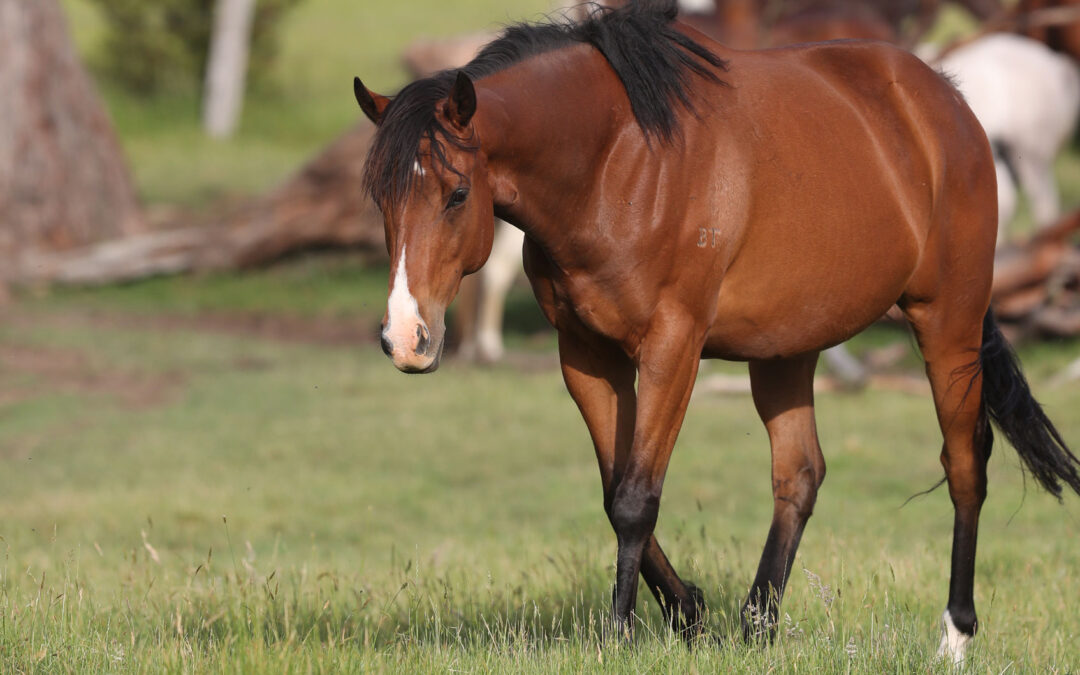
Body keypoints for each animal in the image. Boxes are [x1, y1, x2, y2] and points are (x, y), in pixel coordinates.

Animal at [356, 0, 1080, 662]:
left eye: (455, 194)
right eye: (380, 198)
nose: (405, 337)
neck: (615, 163)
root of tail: (945, 99)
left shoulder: (673, 347)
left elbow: (634, 496)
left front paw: (620, 634)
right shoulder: (586, 355)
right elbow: (614, 488)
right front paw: (690, 614)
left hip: (946, 320)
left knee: (964, 467)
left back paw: (954, 636)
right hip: (789, 346)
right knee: (800, 474)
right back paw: (758, 626)